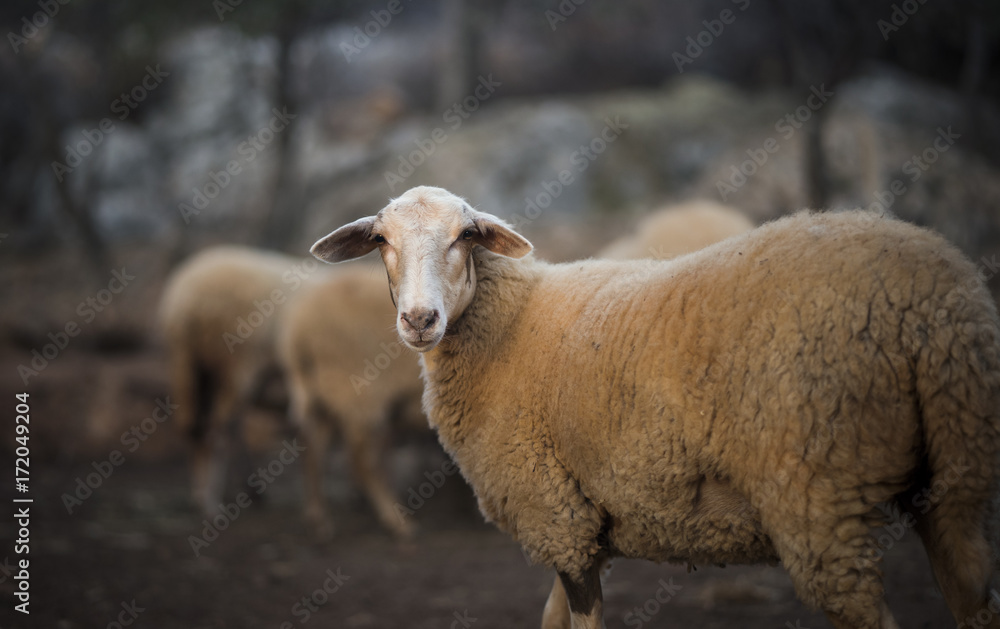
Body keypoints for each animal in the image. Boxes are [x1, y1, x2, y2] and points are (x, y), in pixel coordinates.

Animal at [278, 262, 426, 536]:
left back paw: (319, 517)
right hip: (359, 393)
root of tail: (296, 332)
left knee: (314, 448)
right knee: (362, 460)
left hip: (327, 391)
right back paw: (396, 520)